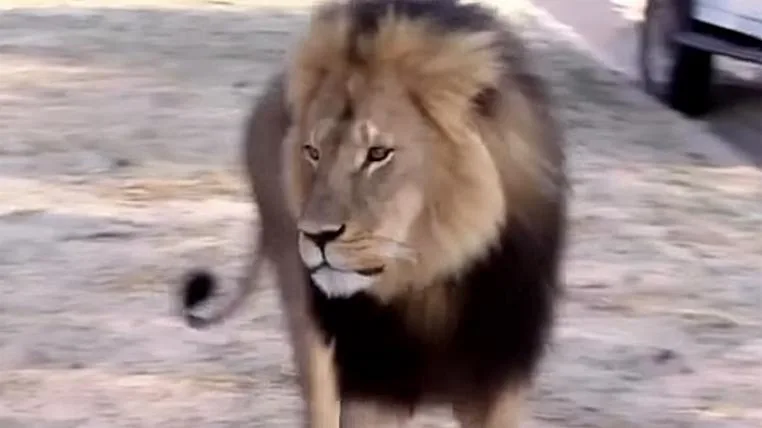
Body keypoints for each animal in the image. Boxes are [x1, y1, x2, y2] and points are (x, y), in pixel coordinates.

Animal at [178, 0, 568, 427]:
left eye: (378, 153)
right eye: (313, 152)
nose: (316, 235)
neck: (429, 280)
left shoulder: (497, 381)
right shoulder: (373, 383)